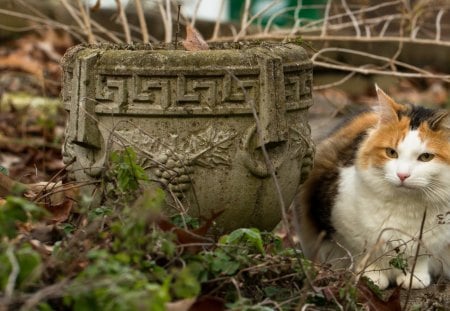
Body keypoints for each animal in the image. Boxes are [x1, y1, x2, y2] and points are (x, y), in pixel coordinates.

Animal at [298, 85, 450, 290]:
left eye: (426, 157)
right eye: (391, 153)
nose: (402, 175)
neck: (405, 205)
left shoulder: (432, 241)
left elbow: (420, 258)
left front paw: (414, 279)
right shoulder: (345, 230)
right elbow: (366, 253)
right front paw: (372, 278)